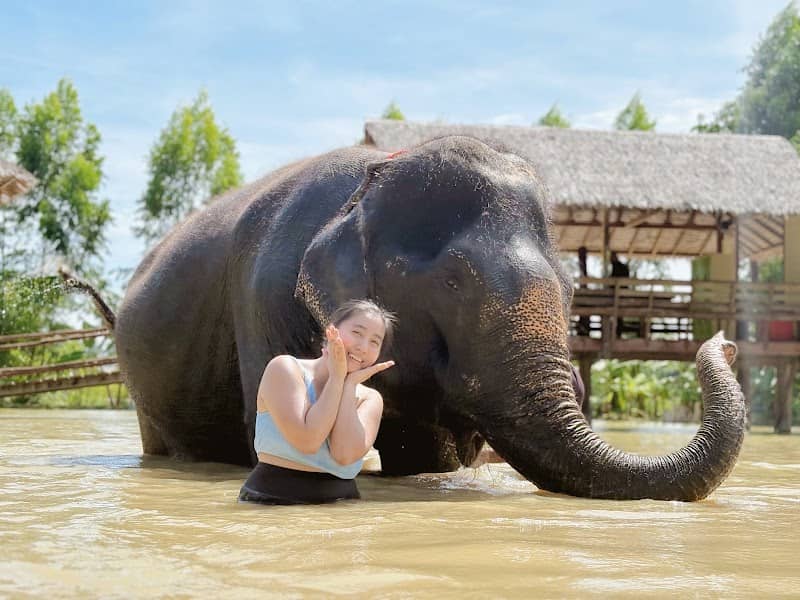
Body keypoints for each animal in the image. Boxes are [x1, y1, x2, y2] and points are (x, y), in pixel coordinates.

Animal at [67, 135, 746, 501]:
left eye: (574, 289)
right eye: (452, 283)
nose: (726, 343)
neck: (371, 181)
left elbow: (426, 455)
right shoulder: (261, 296)